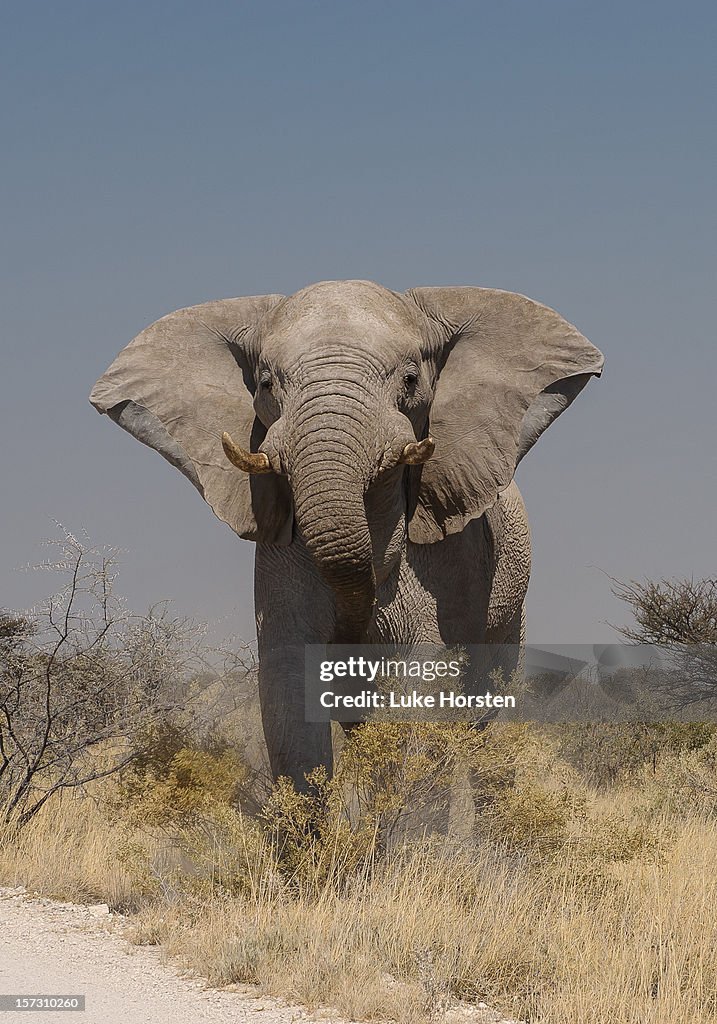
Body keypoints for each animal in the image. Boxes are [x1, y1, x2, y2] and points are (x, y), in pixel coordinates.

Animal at [91, 280, 606, 782]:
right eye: (265, 383)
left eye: (411, 381)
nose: (352, 630)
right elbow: (289, 697)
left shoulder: (455, 563)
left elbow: (423, 685)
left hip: (510, 615)